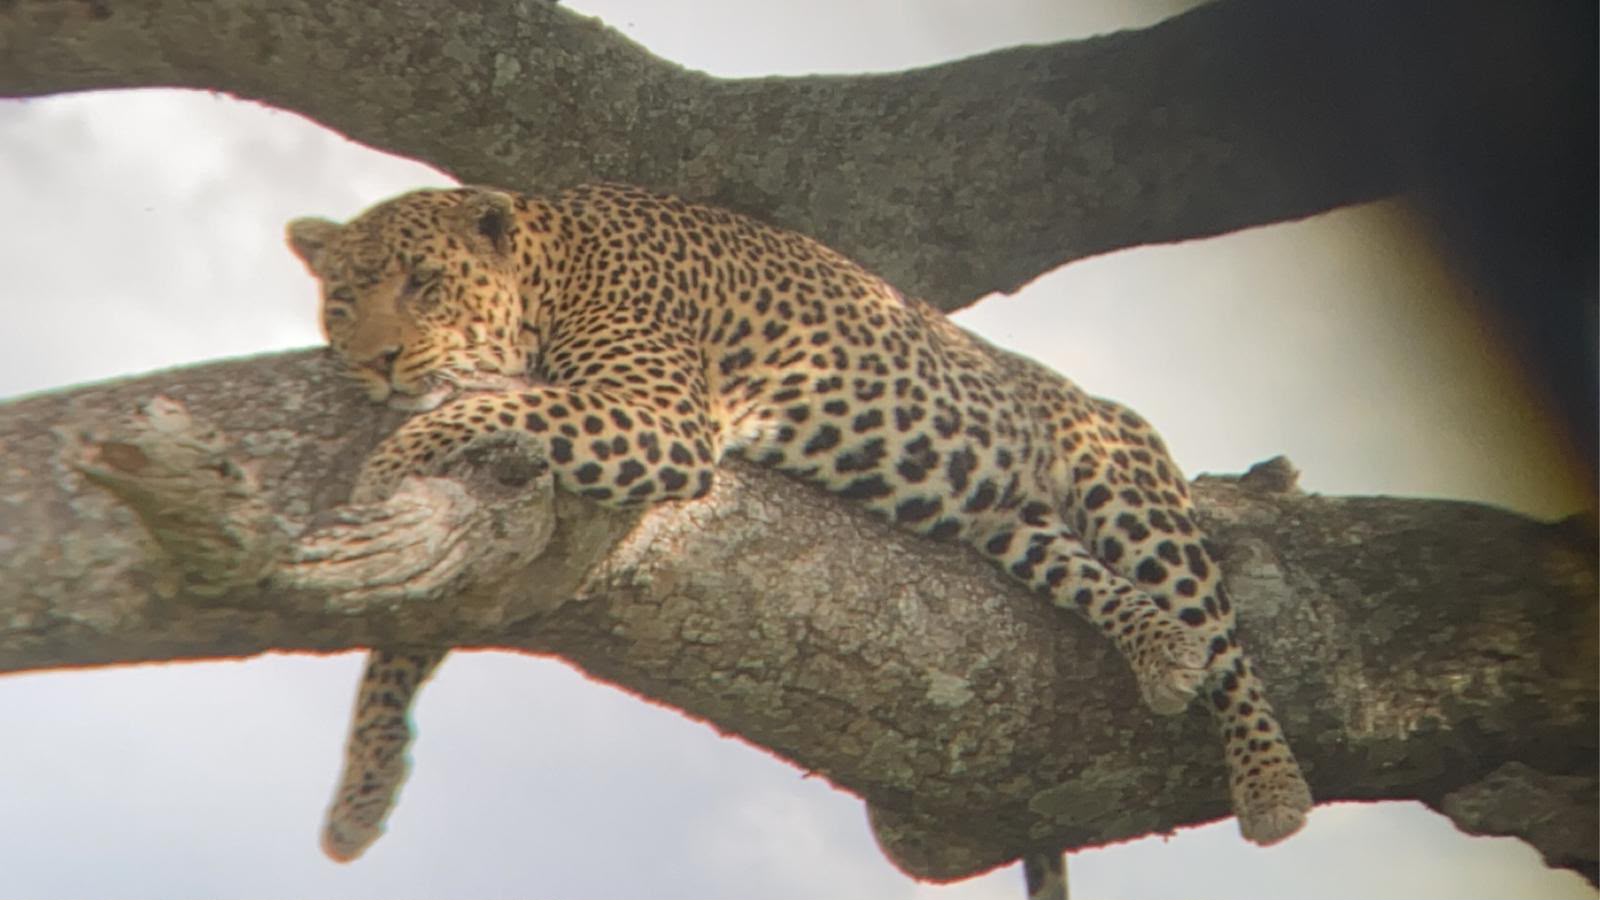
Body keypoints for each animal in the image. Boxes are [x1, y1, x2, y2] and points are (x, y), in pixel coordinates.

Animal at [286, 182, 1314, 875]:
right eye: (344, 299)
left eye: (424, 283)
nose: (376, 360)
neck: (549, 274)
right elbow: (409, 636)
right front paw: (364, 788)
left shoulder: (661, 420)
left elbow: (499, 406)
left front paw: (393, 456)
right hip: (1017, 527)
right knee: (1112, 589)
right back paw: (1160, 652)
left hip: (1125, 484)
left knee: (1228, 639)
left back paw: (1271, 787)